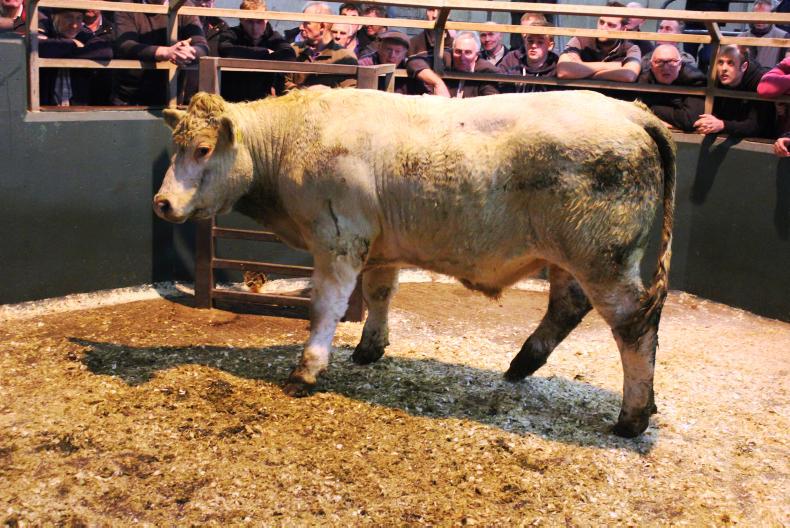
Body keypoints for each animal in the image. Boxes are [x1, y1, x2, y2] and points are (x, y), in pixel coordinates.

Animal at [153, 89, 676, 438]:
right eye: (175, 146)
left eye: (202, 149)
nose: (162, 203)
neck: (290, 142)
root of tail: (630, 110)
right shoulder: (379, 246)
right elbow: (380, 293)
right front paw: (369, 348)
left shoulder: (339, 239)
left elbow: (326, 308)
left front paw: (306, 369)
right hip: (568, 256)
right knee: (567, 306)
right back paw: (521, 364)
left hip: (602, 258)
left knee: (634, 323)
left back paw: (632, 416)